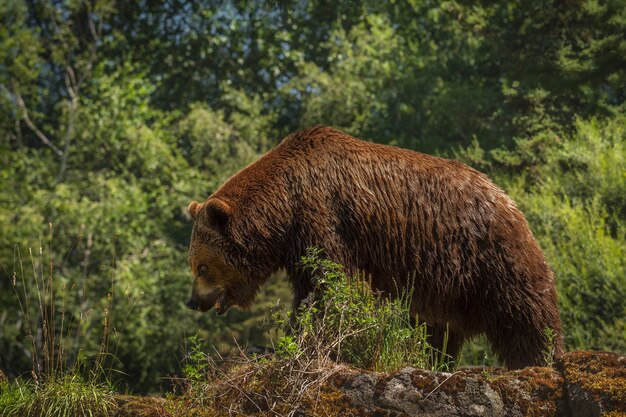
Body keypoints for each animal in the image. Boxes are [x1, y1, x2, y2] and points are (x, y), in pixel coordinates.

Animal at [184, 126, 560, 368]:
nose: (193, 301)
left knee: (524, 310)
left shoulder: (323, 218)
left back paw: (540, 357)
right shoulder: (302, 239)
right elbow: (312, 287)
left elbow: (328, 285)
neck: (284, 206)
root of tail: (507, 199)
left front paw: (299, 342)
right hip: (443, 285)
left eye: (202, 266)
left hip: (486, 254)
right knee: (434, 329)